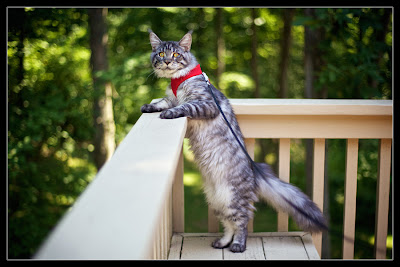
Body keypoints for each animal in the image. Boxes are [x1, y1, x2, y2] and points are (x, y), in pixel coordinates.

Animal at [140, 29, 324, 253]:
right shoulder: (171, 98)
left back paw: (238, 245)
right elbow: (162, 101)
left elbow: (184, 106)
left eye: (175, 55)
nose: (167, 62)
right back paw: (222, 242)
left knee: (242, 222)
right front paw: (149, 106)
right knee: (229, 224)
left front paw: (168, 113)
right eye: (160, 54)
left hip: (233, 198)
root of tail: (255, 170)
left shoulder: (206, 104)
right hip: (217, 200)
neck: (177, 81)